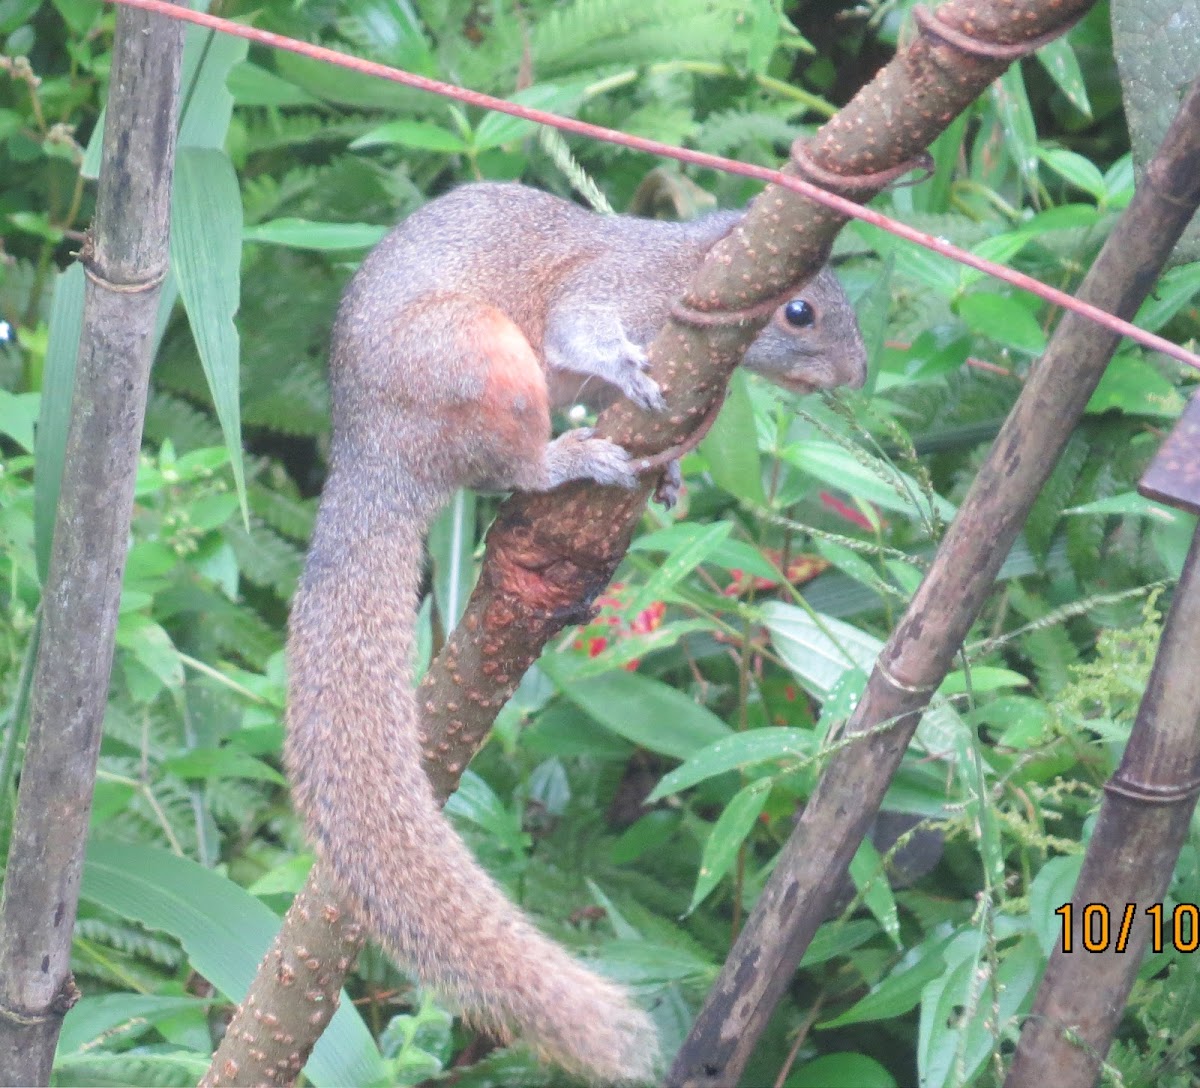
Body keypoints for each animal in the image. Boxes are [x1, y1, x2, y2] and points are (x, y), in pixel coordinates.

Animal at [285, 183, 868, 1084]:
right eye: (799, 310)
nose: (857, 372)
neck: (681, 263)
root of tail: (377, 461)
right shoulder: (610, 291)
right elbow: (579, 329)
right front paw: (627, 371)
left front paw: (673, 471)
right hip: (480, 361)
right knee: (513, 467)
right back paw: (569, 460)